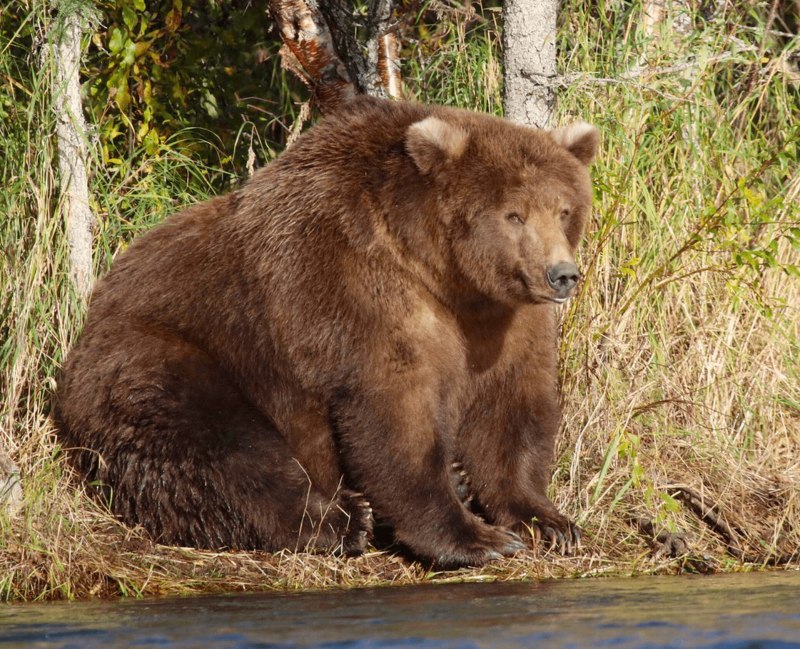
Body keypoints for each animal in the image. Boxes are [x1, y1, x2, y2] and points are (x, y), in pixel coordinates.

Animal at [55, 97, 598, 568]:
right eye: (514, 214)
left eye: (564, 209)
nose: (561, 275)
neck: (442, 273)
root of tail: (85, 328)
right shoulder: (352, 285)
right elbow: (394, 412)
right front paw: (476, 537)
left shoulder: (502, 321)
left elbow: (511, 408)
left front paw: (547, 522)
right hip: (165, 359)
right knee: (223, 450)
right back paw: (344, 520)